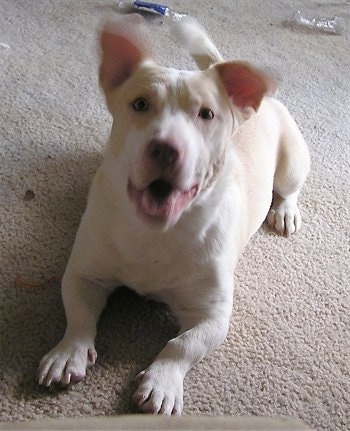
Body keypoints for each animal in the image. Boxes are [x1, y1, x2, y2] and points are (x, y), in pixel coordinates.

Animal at [38, 16, 310, 416]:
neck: (156, 231)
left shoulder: (212, 314)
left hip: (292, 161)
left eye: (207, 114)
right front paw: (67, 353)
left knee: (290, 187)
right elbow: (79, 316)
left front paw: (162, 382)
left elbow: (182, 345)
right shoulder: (85, 274)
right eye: (140, 104)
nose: (166, 148)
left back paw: (285, 212)